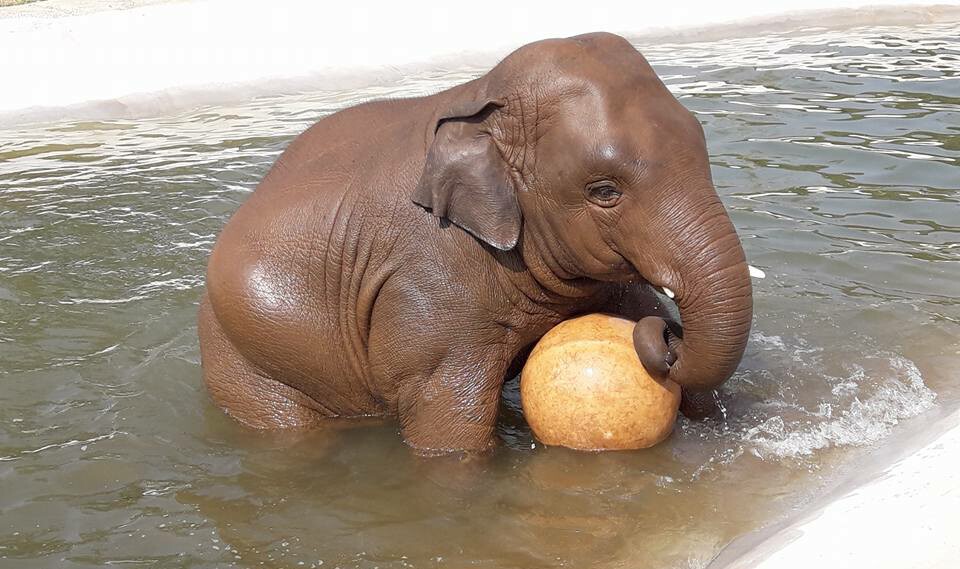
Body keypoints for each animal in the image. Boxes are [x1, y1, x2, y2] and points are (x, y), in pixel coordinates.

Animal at [199, 33, 752, 454]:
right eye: (604, 192)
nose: (668, 334)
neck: (480, 98)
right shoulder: (428, 286)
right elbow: (446, 422)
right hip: (248, 356)